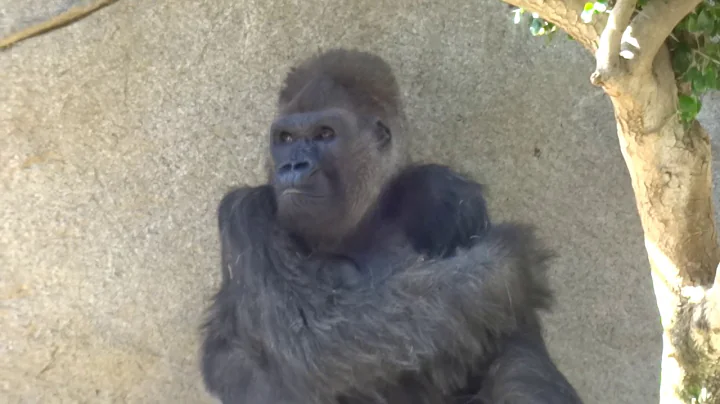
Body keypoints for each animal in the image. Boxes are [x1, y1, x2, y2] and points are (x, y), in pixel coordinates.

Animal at [200, 48, 582, 403]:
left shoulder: (447, 194)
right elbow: (308, 335)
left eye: (325, 134)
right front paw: (510, 264)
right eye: (286, 139)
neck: (362, 221)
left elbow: (513, 348)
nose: (293, 165)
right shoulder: (244, 214)